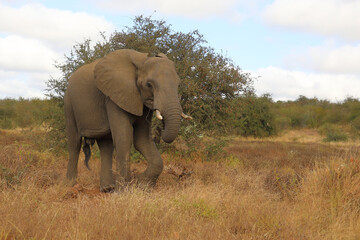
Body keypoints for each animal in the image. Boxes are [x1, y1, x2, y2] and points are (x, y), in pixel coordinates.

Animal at [64, 48, 191, 191]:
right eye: (149, 85)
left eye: (178, 84)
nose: (162, 127)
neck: (141, 61)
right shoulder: (114, 95)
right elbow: (124, 137)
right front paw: (123, 191)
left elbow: (142, 139)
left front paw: (142, 185)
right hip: (69, 105)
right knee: (74, 143)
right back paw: (71, 184)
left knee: (105, 145)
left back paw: (107, 188)